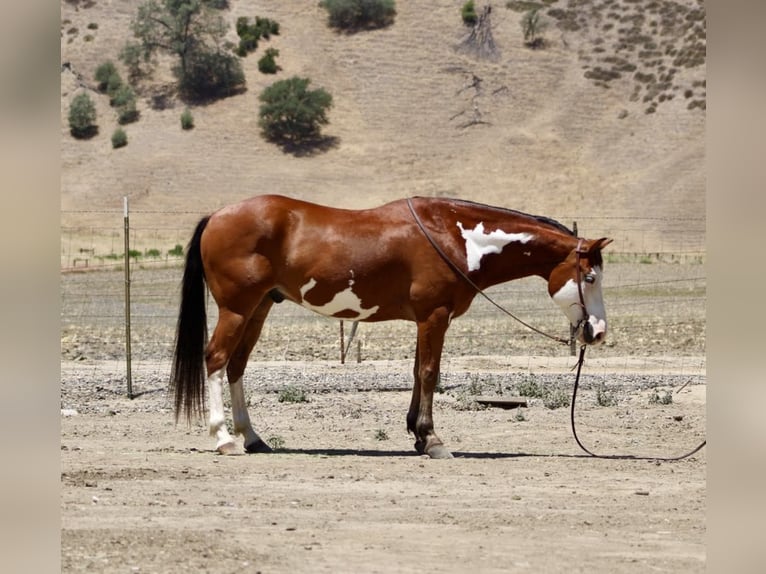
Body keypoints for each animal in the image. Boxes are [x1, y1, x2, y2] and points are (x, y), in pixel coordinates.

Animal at [171, 194, 612, 458]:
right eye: (590, 277)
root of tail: (217, 216)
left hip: (259, 308)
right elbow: (430, 372)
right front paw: (432, 440)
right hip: (236, 309)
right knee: (216, 360)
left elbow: (418, 373)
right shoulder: (434, 316)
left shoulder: (426, 319)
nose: (598, 331)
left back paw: (253, 437)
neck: (454, 236)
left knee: (236, 367)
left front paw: (417, 435)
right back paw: (224, 438)